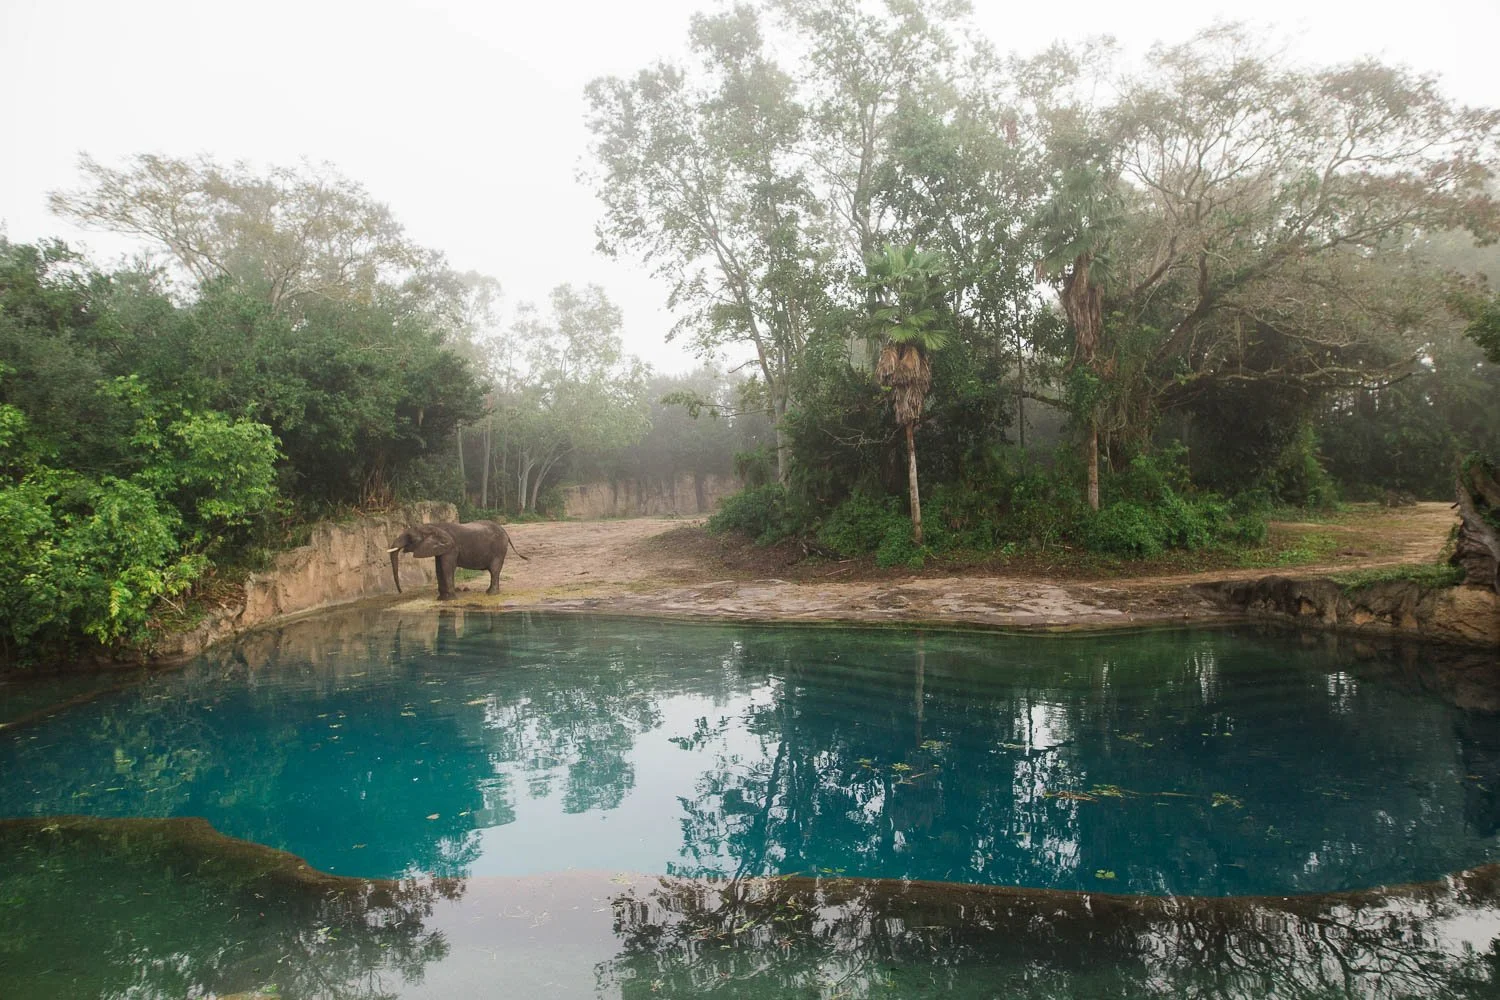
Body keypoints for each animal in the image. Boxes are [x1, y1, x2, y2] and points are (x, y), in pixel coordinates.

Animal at [387, 520, 528, 600]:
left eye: (411, 538)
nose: (400, 592)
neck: (433, 525)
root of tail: (506, 533)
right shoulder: (441, 549)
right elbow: (439, 569)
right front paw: (441, 598)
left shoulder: (452, 548)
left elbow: (447, 568)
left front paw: (450, 599)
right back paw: (489, 592)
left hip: (499, 549)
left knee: (494, 570)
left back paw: (491, 594)